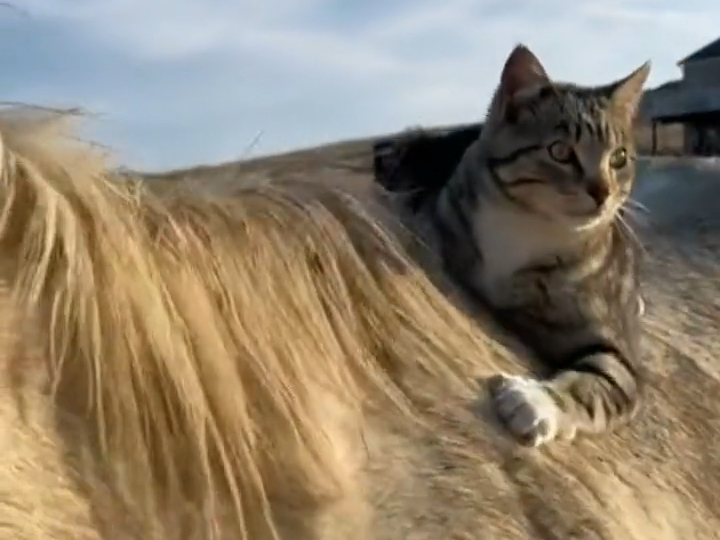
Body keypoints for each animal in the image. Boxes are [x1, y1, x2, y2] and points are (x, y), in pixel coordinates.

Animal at [420, 44, 648, 446]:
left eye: (618, 158)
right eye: (560, 152)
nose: (603, 192)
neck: (528, 225)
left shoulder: (619, 350)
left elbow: (597, 382)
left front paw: (535, 402)